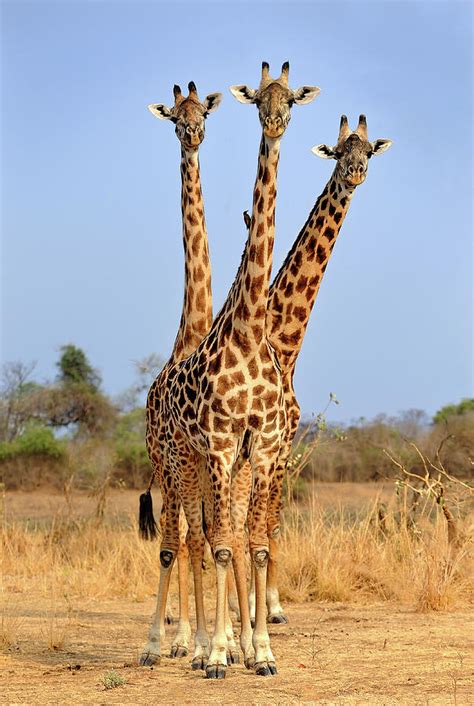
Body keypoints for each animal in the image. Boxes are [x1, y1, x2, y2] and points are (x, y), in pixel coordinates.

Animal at [144, 62, 320, 676]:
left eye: (290, 98)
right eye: (260, 100)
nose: (276, 121)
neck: (244, 331)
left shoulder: (261, 447)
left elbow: (255, 544)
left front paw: (260, 651)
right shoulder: (219, 444)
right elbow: (218, 545)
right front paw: (217, 652)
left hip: (208, 464)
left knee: (212, 535)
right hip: (178, 461)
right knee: (184, 539)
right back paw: (169, 645)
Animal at [241, 113, 392, 620]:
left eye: (367, 151)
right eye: (339, 152)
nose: (356, 173)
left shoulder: (281, 443)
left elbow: (270, 521)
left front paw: (269, 607)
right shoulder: (269, 442)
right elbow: (258, 523)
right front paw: (261, 611)